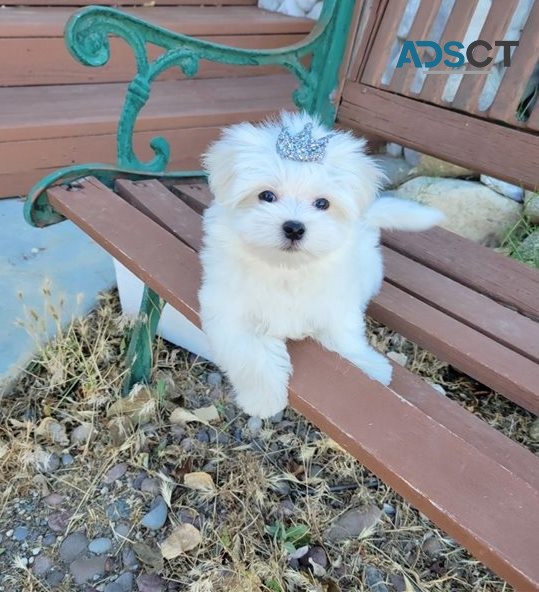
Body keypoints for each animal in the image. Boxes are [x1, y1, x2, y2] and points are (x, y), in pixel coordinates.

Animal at [198, 110, 442, 416]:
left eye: (322, 203)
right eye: (266, 196)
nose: (294, 228)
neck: (286, 269)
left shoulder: (337, 304)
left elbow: (345, 336)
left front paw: (369, 367)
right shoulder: (228, 309)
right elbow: (250, 353)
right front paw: (264, 398)